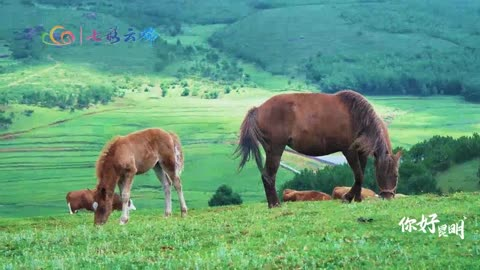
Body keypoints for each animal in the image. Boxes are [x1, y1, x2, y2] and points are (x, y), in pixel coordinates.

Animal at [236, 89, 402, 208]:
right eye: (386, 174)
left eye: (396, 175)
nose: (388, 197)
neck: (358, 117)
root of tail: (258, 109)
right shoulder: (349, 151)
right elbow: (359, 175)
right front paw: (347, 198)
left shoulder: (361, 152)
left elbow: (360, 175)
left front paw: (357, 198)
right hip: (275, 149)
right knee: (268, 176)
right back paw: (275, 204)